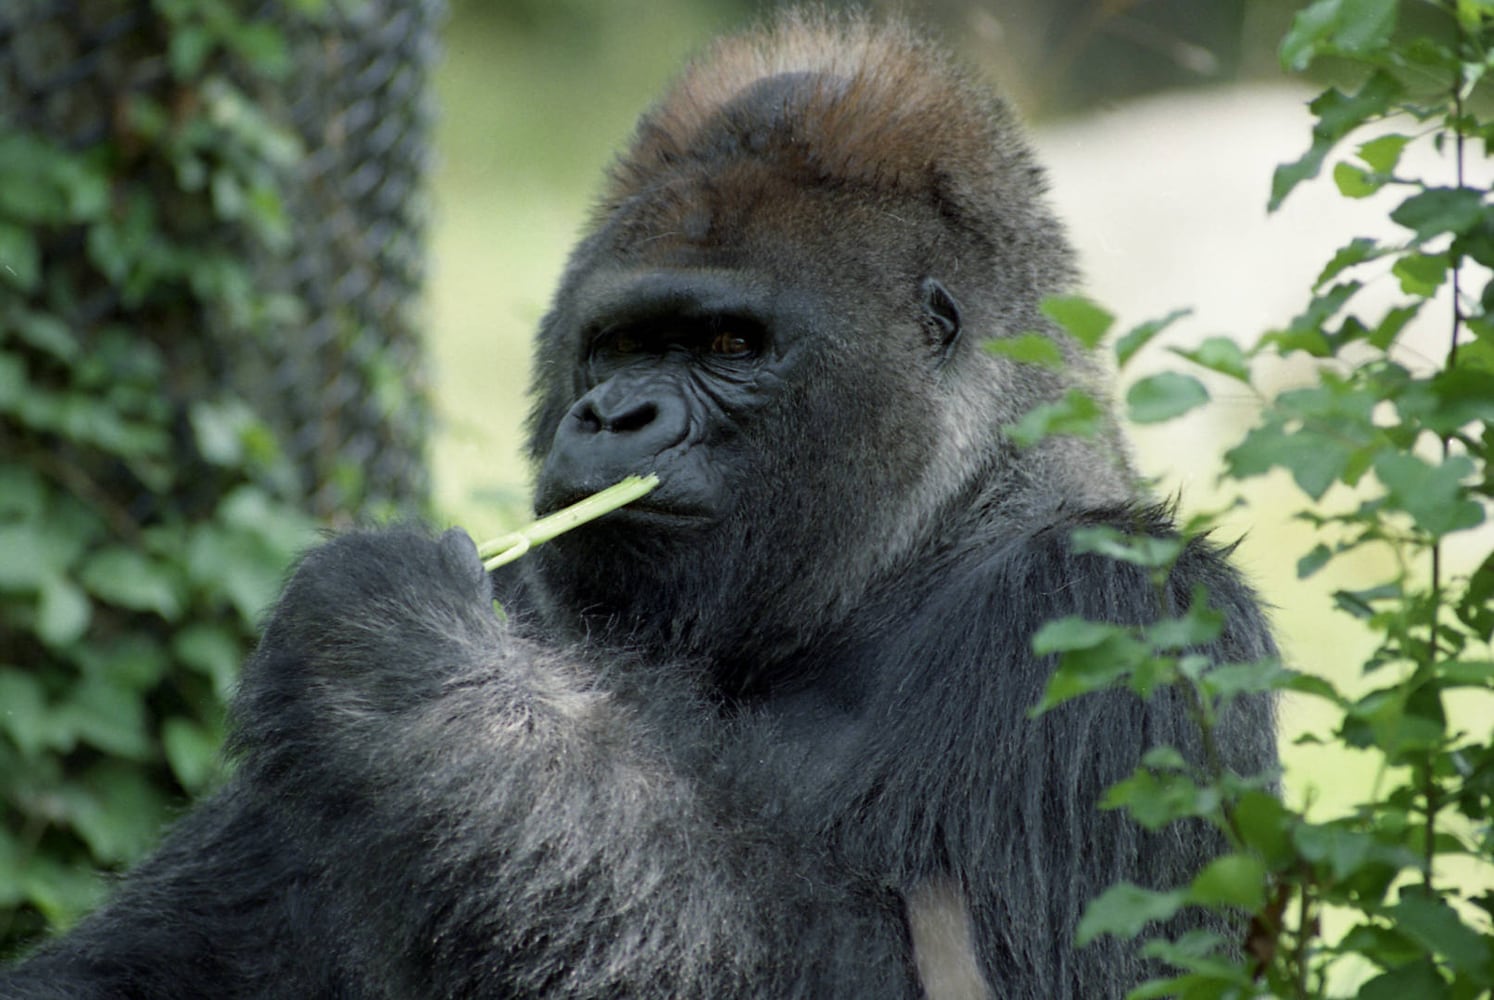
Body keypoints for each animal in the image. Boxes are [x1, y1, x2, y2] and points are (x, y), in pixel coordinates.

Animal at [5, 9, 1278, 998]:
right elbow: (159, 961)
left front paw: (411, 673)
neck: (928, 534)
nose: (616, 416)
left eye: (728, 344)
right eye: (616, 344)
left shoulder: (1119, 617)